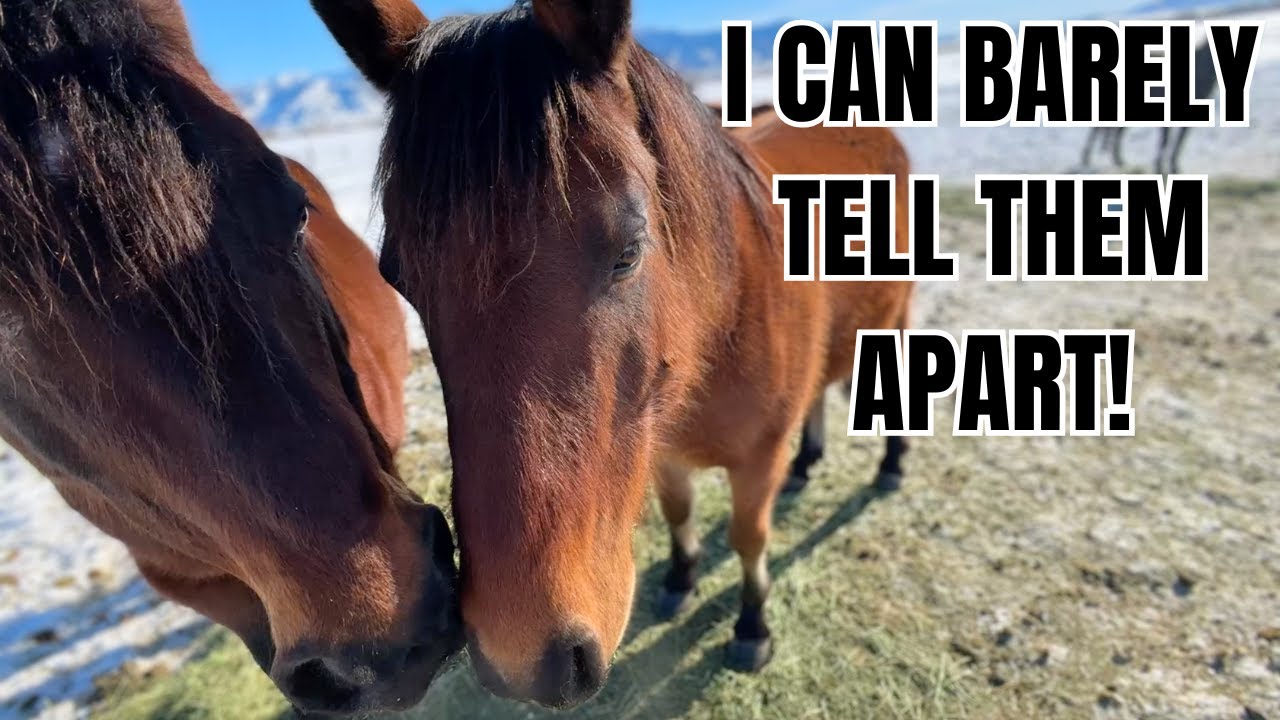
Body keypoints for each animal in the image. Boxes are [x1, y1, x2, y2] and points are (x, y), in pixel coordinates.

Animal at [311, 0, 914, 707]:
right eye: (400, 278)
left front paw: (752, 627)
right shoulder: (664, 451)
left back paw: (891, 466)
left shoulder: (756, 458)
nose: (524, 661)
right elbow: (679, 512)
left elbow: (748, 537)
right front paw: (679, 582)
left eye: (629, 249)